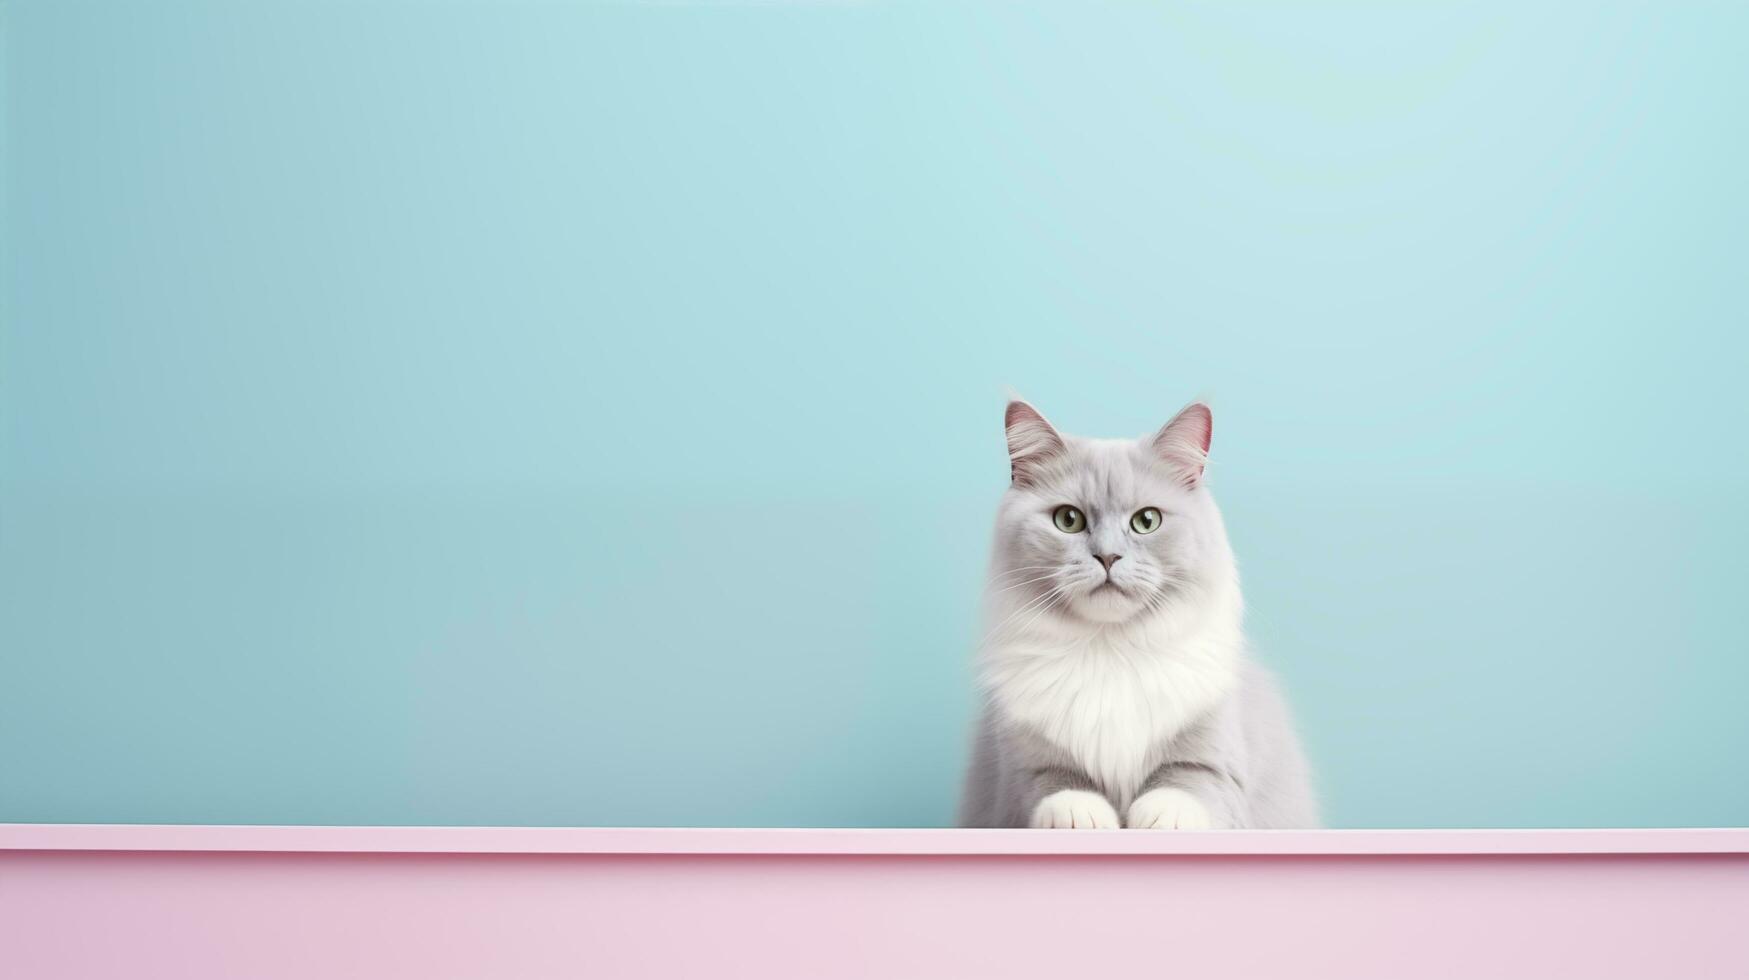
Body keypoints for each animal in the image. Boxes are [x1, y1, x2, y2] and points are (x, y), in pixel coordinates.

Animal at [958, 399, 1315, 826]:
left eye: (1146, 521)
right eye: (1068, 520)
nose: (1108, 556)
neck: (1110, 650)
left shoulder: (1216, 758)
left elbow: (1183, 785)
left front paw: (1162, 818)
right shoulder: (1022, 770)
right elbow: (1059, 785)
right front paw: (1083, 816)